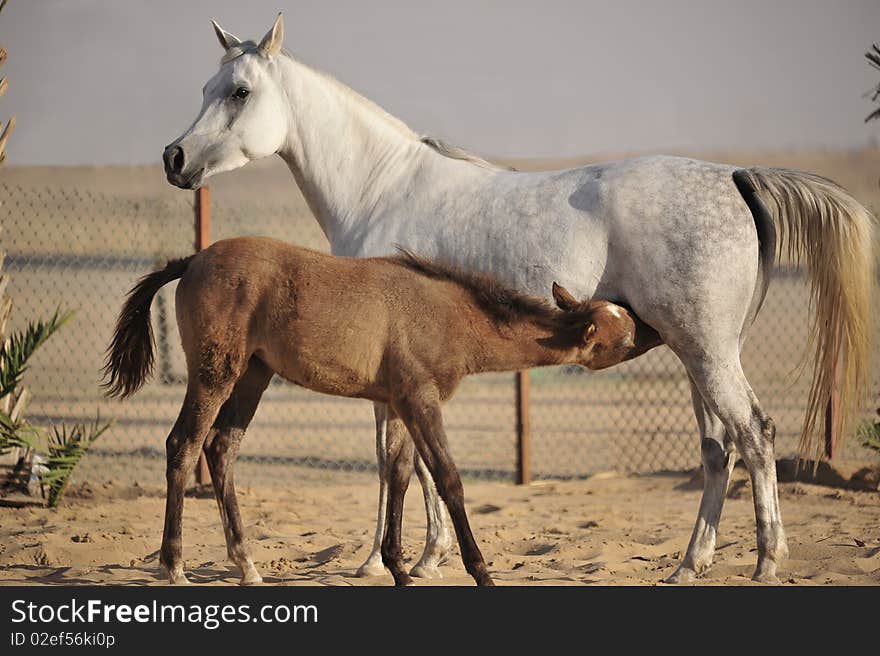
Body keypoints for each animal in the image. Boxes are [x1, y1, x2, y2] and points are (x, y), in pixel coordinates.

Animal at [103, 238, 660, 588]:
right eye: (626, 333)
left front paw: (397, 567)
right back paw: (174, 566)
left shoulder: (396, 403)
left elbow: (399, 474)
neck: (451, 315)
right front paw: (479, 570)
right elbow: (447, 478)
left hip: (253, 376)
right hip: (215, 373)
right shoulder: (420, 399)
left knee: (221, 449)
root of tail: (193, 260)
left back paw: (247, 565)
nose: (655, 329)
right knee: (184, 444)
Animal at [163, 12, 872, 584]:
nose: (174, 157)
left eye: (239, 92)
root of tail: (735, 176)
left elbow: (401, 463)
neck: (381, 185)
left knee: (753, 433)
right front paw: (422, 556)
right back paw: (688, 565)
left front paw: (395, 560)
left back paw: (766, 561)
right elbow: (416, 464)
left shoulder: (394, 376)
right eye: (203, 90)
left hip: (707, 352)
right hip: (698, 354)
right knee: (718, 447)